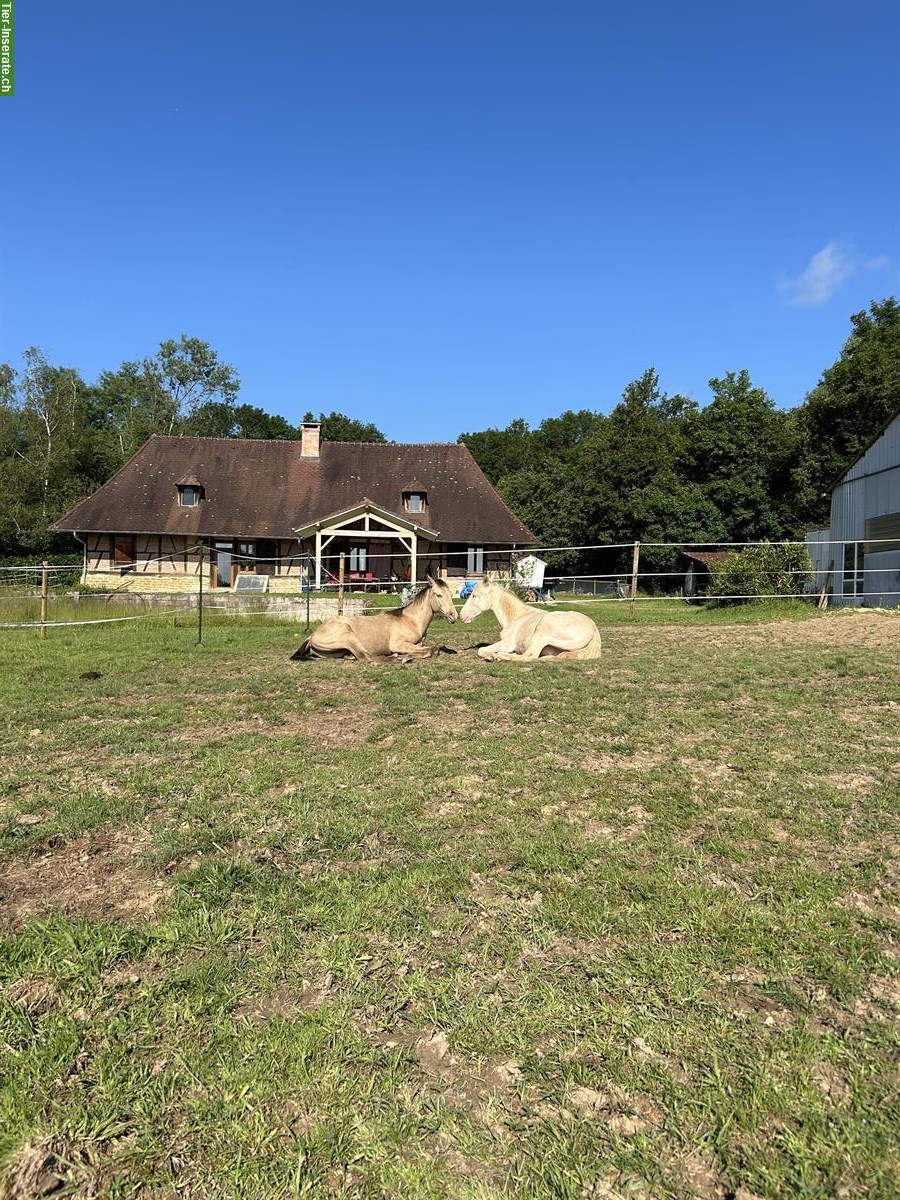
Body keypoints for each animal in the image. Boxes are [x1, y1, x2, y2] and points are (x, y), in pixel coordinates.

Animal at [460, 578, 602, 662]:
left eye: (474, 595)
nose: (461, 615)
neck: (516, 617)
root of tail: (594, 630)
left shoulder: (507, 643)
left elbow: (481, 650)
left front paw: (492, 655)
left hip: (541, 631)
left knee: (529, 656)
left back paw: (498, 656)